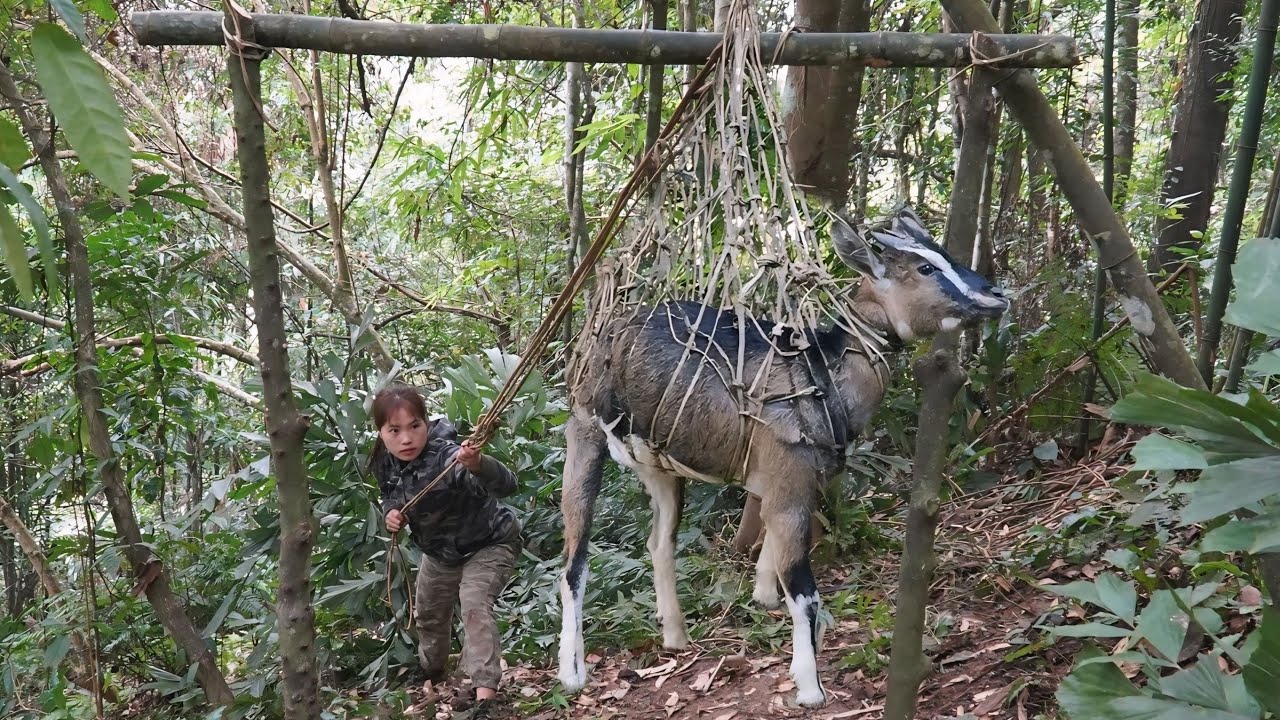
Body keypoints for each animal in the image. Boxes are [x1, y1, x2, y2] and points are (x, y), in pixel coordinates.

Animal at [556, 207, 1008, 707]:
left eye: (943, 253)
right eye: (925, 268)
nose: (996, 295)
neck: (823, 372)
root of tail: (610, 332)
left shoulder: (794, 484)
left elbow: (775, 574)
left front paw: (766, 603)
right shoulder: (788, 480)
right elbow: (805, 592)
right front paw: (810, 688)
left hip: (660, 466)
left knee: (660, 541)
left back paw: (675, 635)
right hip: (584, 430)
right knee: (573, 563)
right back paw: (572, 673)